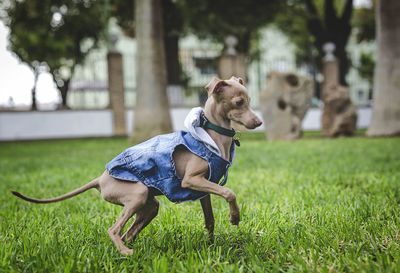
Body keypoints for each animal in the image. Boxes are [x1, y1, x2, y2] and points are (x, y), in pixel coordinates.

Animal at [11, 75, 262, 254]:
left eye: (250, 100)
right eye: (239, 102)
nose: (259, 122)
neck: (211, 136)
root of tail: (100, 178)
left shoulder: (204, 189)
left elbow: (210, 220)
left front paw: (211, 245)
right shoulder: (191, 180)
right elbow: (229, 192)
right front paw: (235, 217)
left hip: (149, 205)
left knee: (128, 233)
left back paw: (129, 250)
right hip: (137, 194)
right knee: (114, 230)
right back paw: (126, 253)